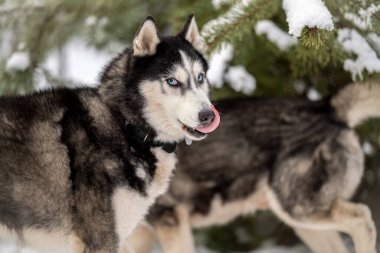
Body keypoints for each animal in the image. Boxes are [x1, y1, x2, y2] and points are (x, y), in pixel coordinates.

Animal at [0, 15, 220, 253]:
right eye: (172, 81)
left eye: (200, 77)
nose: (208, 116)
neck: (126, 126)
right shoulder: (99, 239)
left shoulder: (118, 236)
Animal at [128, 82, 380, 253]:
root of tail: (327, 107)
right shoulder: (141, 234)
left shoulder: (170, 221)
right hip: (303, 222)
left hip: (296, 208)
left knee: (362, 219)